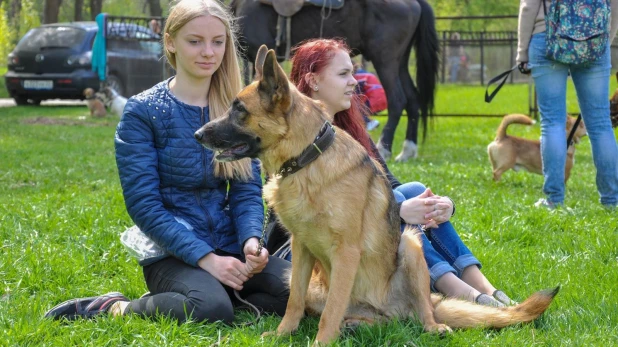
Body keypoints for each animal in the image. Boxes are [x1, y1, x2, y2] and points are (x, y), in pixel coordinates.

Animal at [194, 46, 560, 346]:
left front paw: (321, 342)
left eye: (239, 109)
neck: (308, 160)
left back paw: (431, 325)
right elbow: (294, 302)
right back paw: (358, 325)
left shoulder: (346, 252)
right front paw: (284, 334)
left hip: (410, 245)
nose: (197, 134)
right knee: (375, 320)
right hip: (317, 281)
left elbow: (332, 309)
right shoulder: (300, 250)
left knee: (423, 311)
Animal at [231, 0, 438, 162]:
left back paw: (384, 148)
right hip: (400, 61)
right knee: (413, 99)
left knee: (397, 99)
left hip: (385, 59)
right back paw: (407, 150)